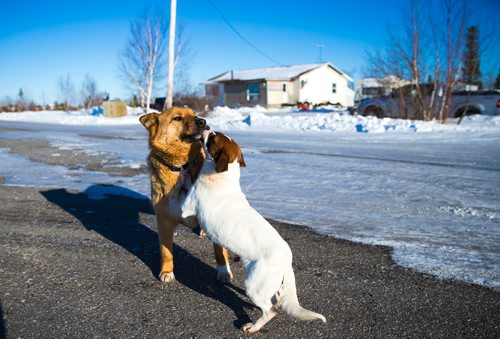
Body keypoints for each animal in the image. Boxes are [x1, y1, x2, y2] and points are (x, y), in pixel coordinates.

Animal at [139, 107, 232, 282]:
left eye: (194, 114)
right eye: (177, 118)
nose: (203, 121)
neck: (182, 167)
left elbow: (220, 251)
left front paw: (224, 272)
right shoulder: (164, 220)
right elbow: (166, 251)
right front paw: (167, 272)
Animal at [182, 130, 326, 334]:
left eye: (213, 137)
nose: (206, 127)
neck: (223, 177)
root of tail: (287, 262)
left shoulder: (186, 208)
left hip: (253, 285)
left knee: (271, 310)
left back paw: (253, 326)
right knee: (276, 299)